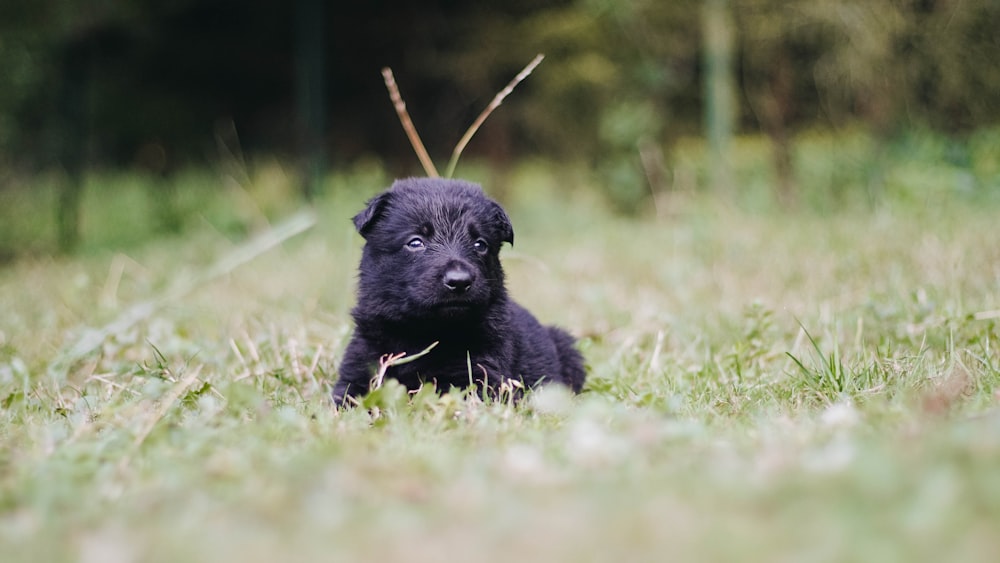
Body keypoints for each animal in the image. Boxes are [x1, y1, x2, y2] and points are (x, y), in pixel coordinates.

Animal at [334, 177, 584, 406]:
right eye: (415, 242)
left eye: (480, 244)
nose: (459, 281)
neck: (424, 335)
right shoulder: (360, 366)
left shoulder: (477, 374)